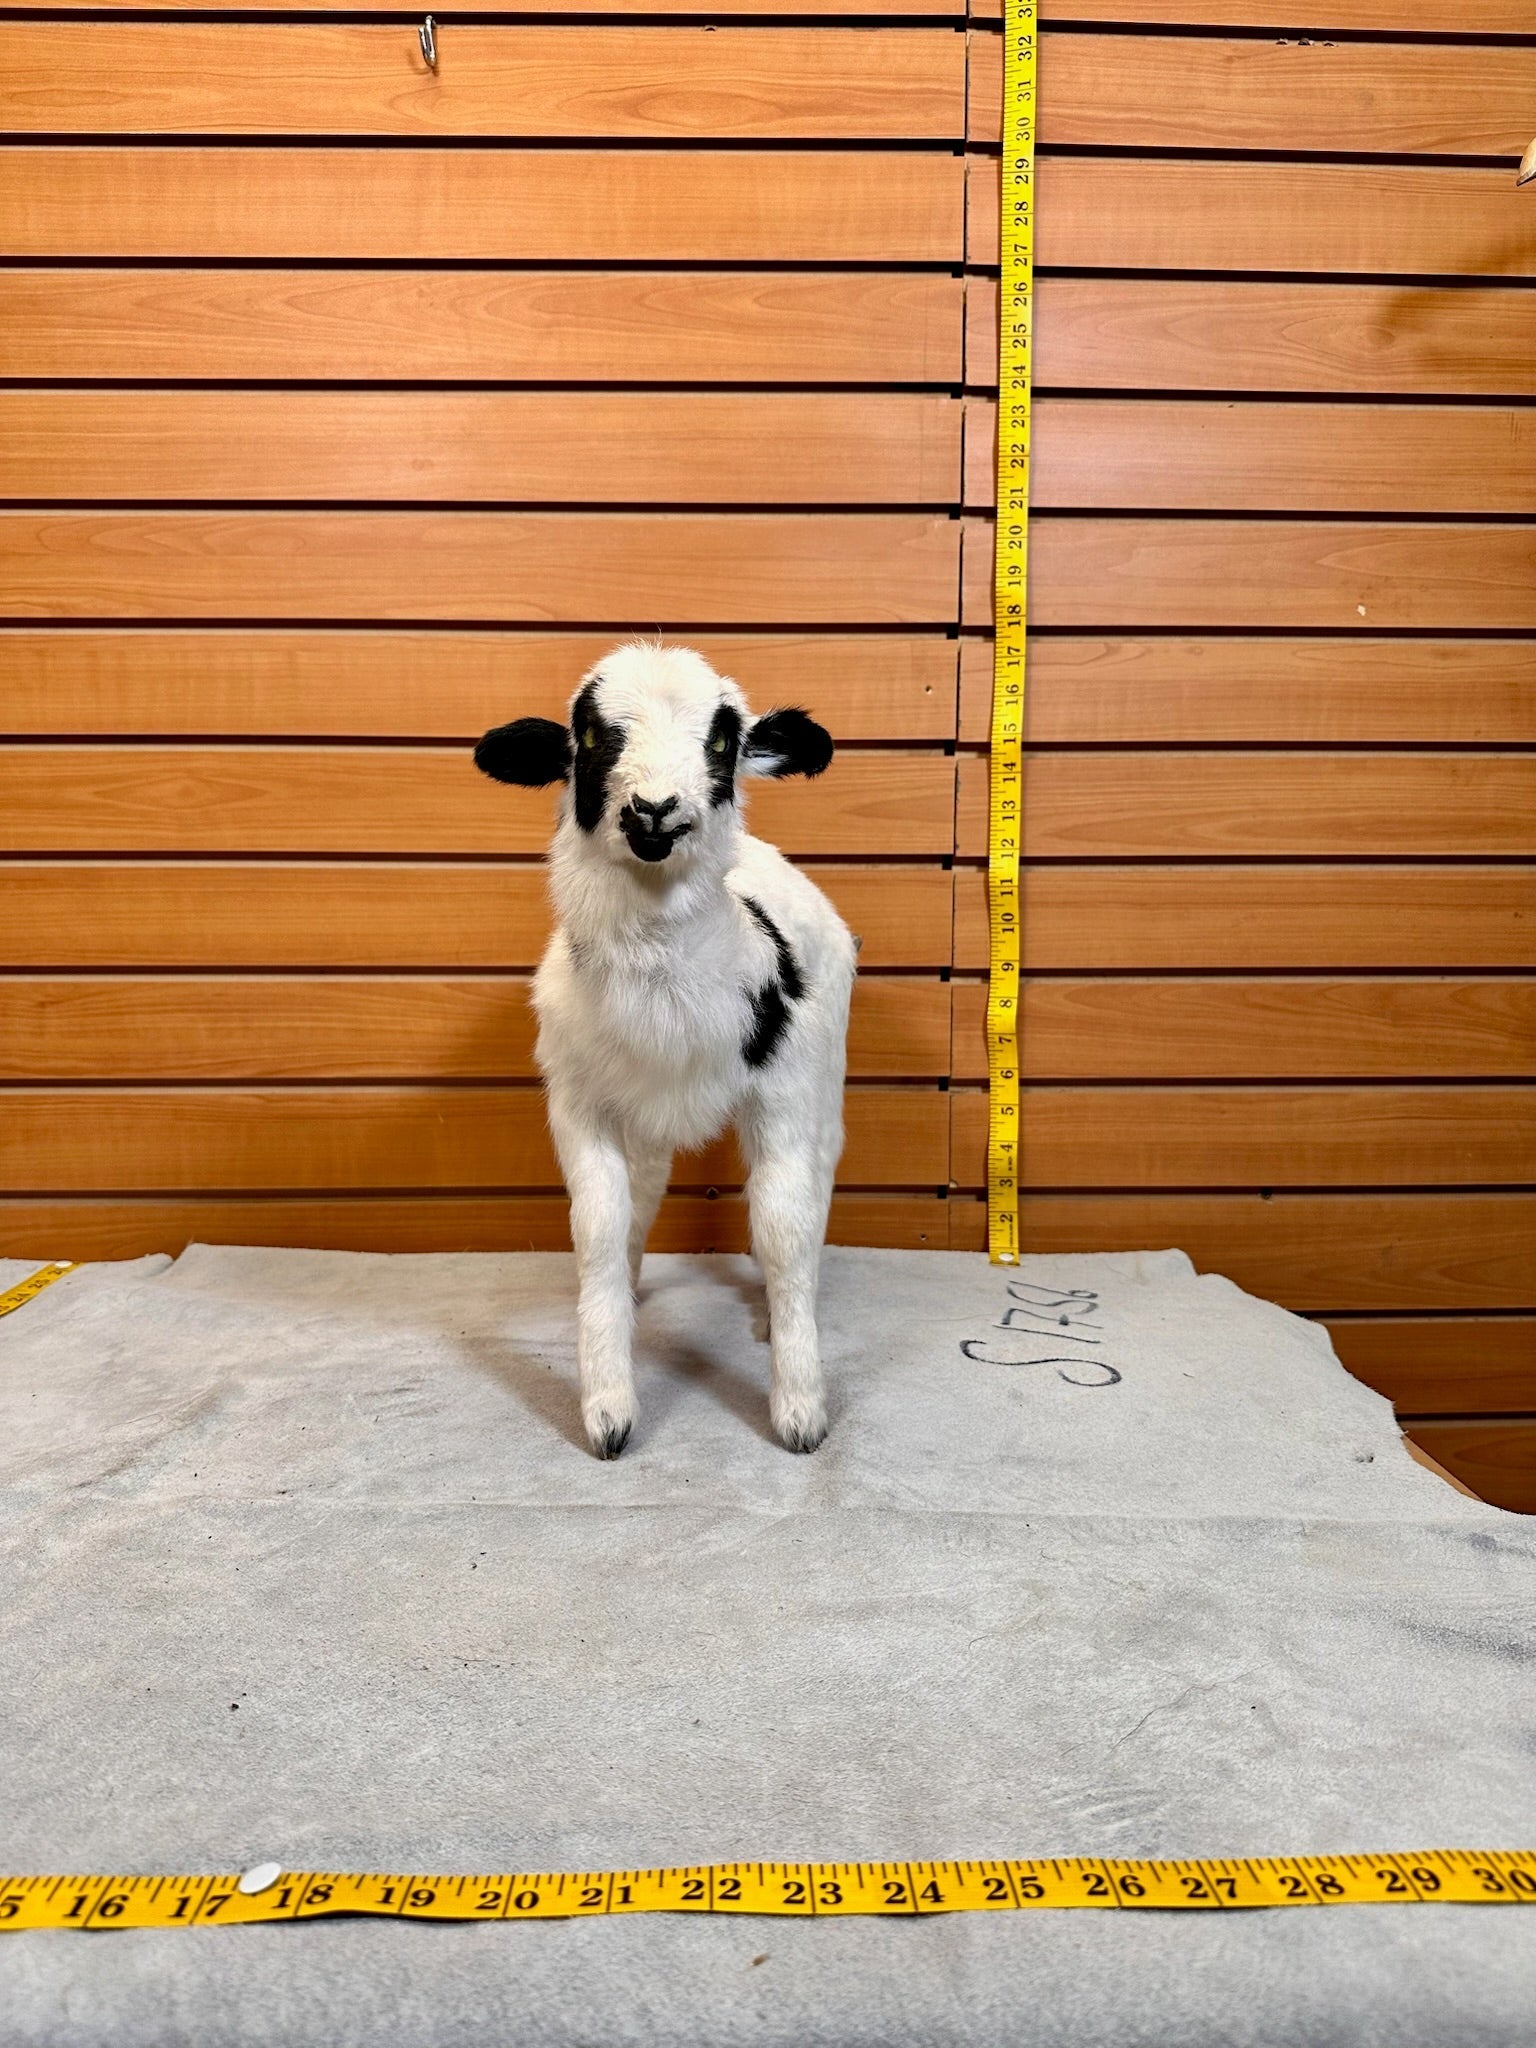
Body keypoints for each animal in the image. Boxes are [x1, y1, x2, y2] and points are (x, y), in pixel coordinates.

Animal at [474, 643, 857, 1460]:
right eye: (590, 735)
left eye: (722, 741)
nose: (653, 810)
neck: (666, 995)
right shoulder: (580, 1104)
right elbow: (600, 1224)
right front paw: (608, 1408)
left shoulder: (783, 1098)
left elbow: (783, 1227)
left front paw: (800, 1410)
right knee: (644, 1193)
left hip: (827, 1078)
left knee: (818, 1182)